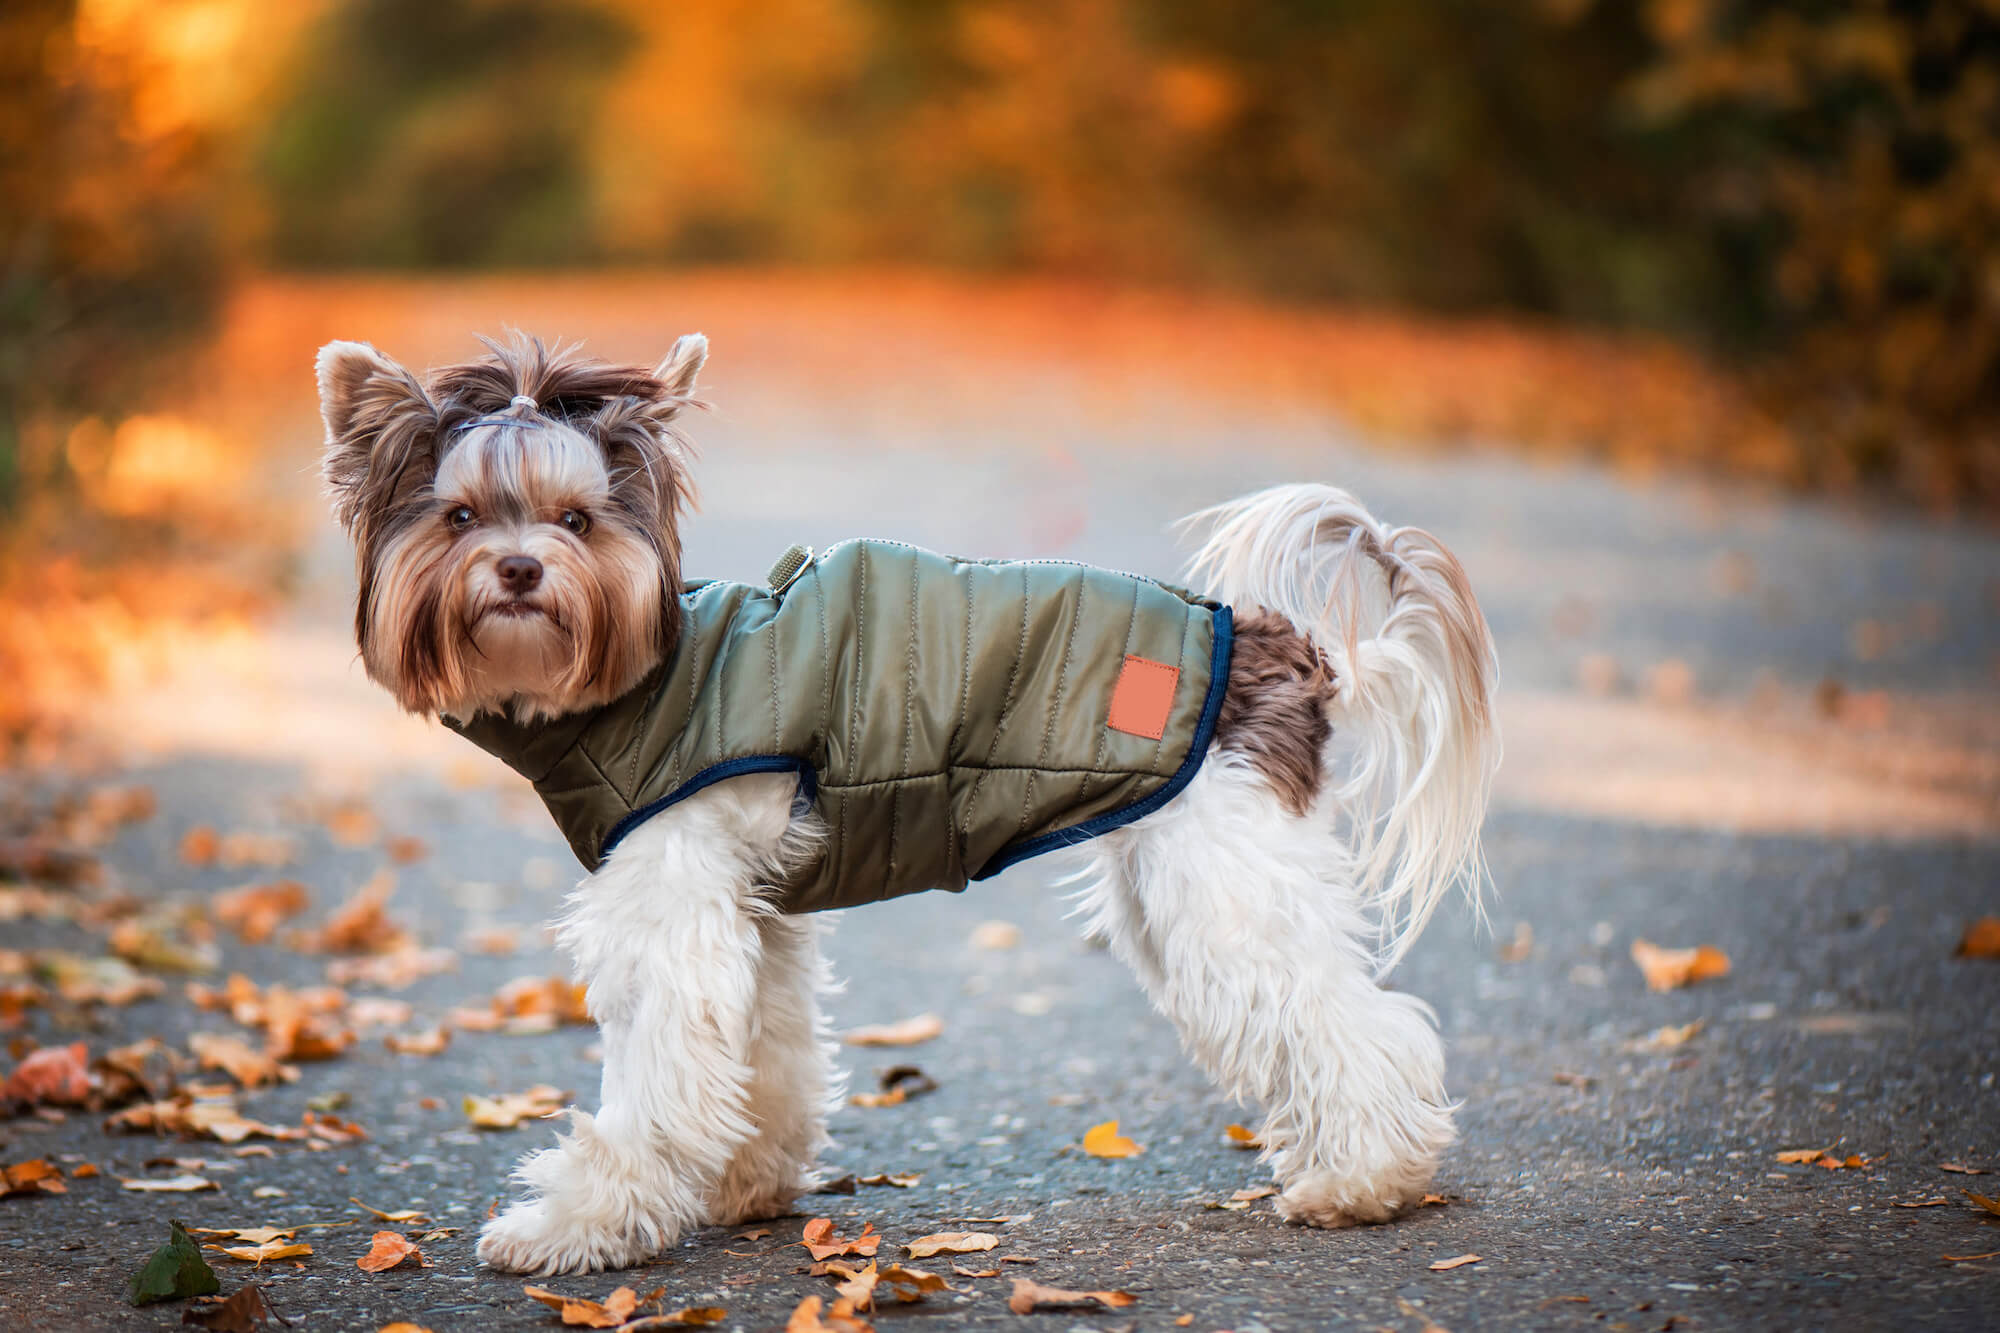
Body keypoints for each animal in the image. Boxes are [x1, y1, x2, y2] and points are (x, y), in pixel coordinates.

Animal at [316, 330, 1504, 1264]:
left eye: (575, 520)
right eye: (460, 516)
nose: (518, 569)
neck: (652, 669)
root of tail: (1285, 646)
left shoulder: (670, 910)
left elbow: (653, 1086)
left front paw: (576, 1226)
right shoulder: (755, 914)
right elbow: (768, 1052)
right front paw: (749, 1183)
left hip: (1220, 888)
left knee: (1360, 1027)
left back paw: (1365, 1182)